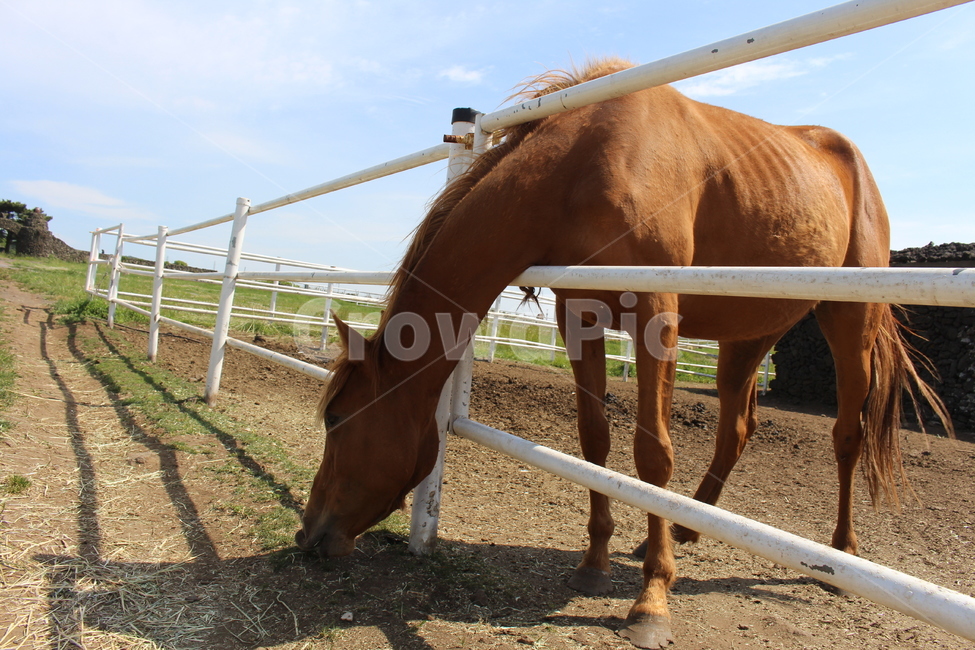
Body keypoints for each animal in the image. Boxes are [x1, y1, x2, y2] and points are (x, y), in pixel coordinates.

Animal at [295, 58, 950, 648]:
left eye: (336, 419)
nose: (308, 534)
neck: (586, 163)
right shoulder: (579, 318)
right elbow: (594, 442)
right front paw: (595, 561)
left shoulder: (656, 314)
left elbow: (652, 453)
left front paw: (651, 601)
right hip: (748, 333)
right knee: (737, 427)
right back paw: (686, 528)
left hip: (849, 321)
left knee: (846, 434)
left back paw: (841, 554)